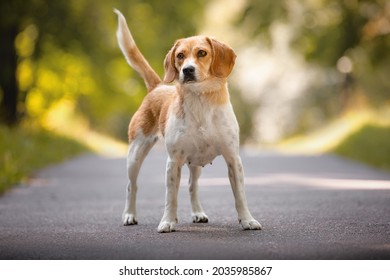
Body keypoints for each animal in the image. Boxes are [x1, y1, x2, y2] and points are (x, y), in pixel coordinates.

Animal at [114, 8, 260, 233]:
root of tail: (158, 87)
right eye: (180, 56)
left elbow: (240, 196)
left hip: (195, 162)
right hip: (135, 154)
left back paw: (198, 213)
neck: (200, 100)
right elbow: (171, 197)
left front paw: (247, 220)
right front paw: (167, 222)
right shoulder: (173, 161)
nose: (187, 70)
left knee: (193, 186)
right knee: (132, 185)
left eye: (202, 53)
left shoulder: (233, 158)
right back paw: (130, 215)